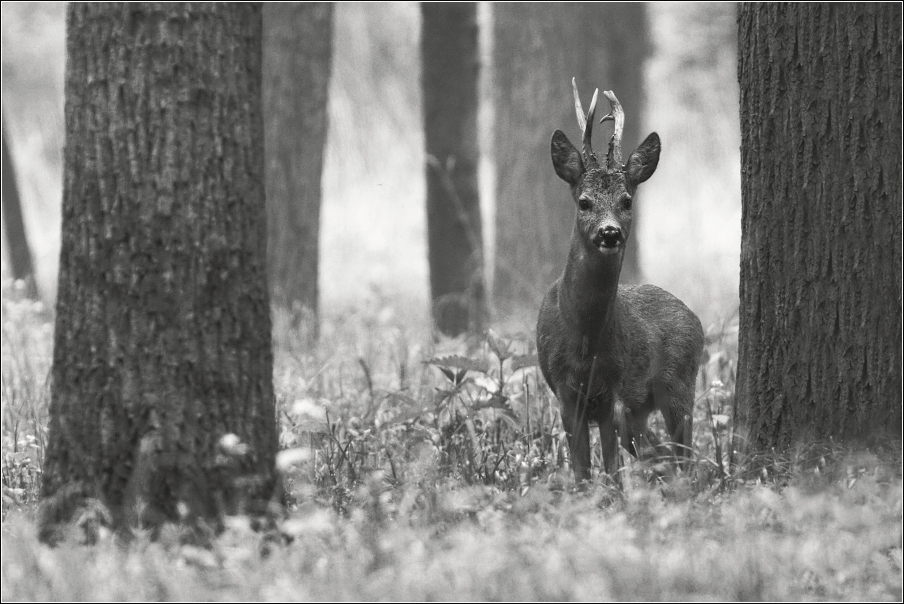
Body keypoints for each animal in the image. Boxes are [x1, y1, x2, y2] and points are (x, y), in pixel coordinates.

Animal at [536, 80, 708, 482]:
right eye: (584, 201)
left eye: (627, 200)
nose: (610, 232)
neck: (585, 341)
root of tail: (694, 317)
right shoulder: (565, 394)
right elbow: (582, 471)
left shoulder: (613, 391)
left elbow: (613, 471)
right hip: (641, 411)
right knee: (661, 453)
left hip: (679, 385)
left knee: (682, 455)